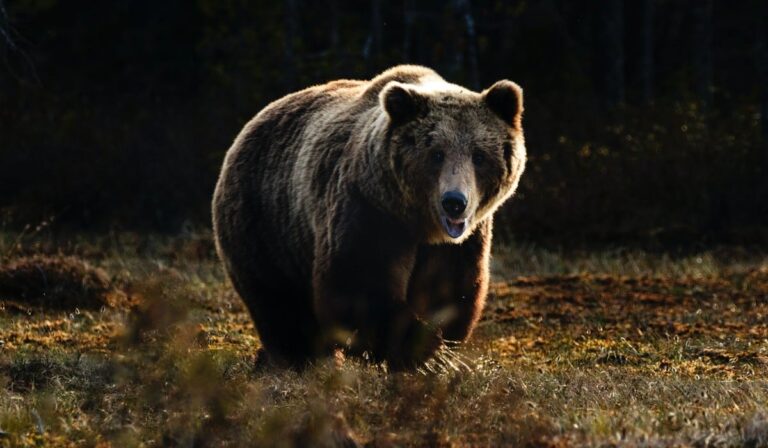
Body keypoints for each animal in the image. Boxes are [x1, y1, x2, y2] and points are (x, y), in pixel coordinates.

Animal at [213, 65, 524, 368]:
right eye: (436, 154)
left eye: (479, 156)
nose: (454, 203)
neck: (418, 222)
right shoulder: (368, 210)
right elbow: (358, 283)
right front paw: (421, 350)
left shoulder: (460, 241)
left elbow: (449, 288)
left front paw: (435, 347)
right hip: (265, 221)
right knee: (278, 301)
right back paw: (299, 358)